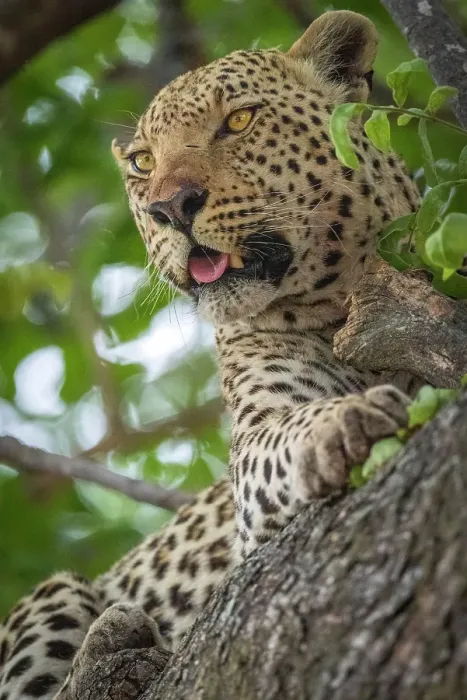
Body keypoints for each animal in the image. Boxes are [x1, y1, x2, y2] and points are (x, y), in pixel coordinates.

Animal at [0, 10, 422, 700]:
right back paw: (115, 640)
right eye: (143, 162)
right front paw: (346, 419)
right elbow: (286, 437)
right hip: (48, 597)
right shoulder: (253, 461)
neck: (345, 303)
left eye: (240, 121)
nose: (168, 208)